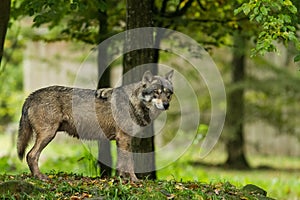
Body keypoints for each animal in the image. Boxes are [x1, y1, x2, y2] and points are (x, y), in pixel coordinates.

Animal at [17, 70, 173, 181]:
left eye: (168, 94)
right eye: (156, 92)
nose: (166, 105)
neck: (134, 102)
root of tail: (31, 95)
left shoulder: (121, 140)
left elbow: (121, 164)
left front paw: (121, 179)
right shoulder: (124, 138)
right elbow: (129, 163)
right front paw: (134, 180)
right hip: (48, 134)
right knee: (31, 155)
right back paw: (40, 177)